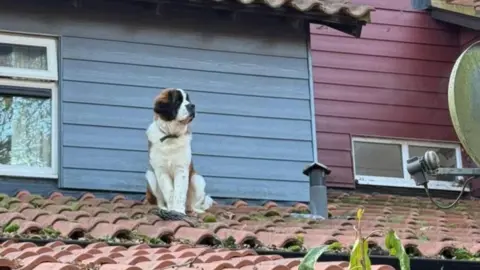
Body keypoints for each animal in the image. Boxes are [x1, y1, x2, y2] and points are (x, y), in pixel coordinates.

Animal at [145, 87, 213, 216]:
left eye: (188, 99)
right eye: (177, 101)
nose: (192, 106)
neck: (171, 136)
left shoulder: (182, 169)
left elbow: (179, 191)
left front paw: (178, 211)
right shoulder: (161, 171)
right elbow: (169, 191)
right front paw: (172, 209)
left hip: (197, 179)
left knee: (192, 204)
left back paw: (195, 210)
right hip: (151, 176)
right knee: (159, 200)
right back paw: (163, 208)